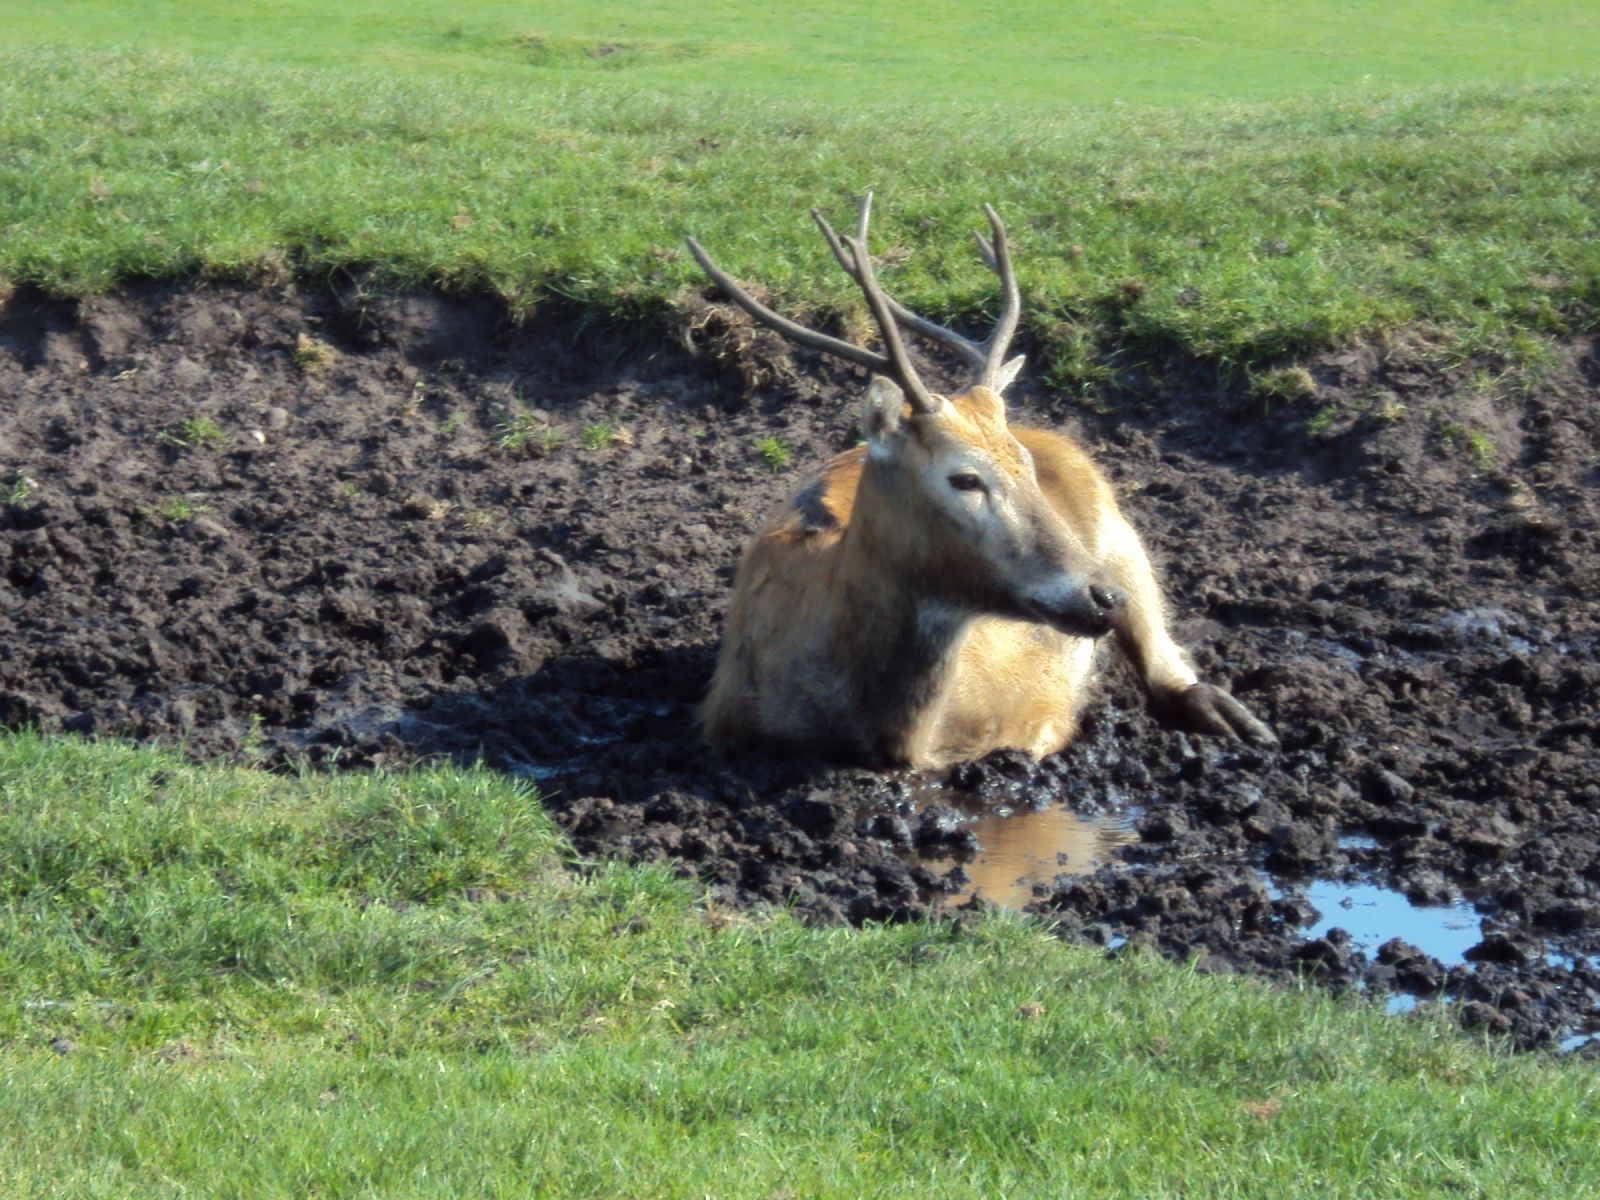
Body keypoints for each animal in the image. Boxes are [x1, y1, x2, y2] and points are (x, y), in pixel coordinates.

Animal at [688, 192, 1273, 764]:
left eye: (1025, 466)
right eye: (964, 479)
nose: (1104, 595)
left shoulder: (1044, 713)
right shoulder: (720, 712)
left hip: (1125, 542)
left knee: (1164, 655)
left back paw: (1237, 718)